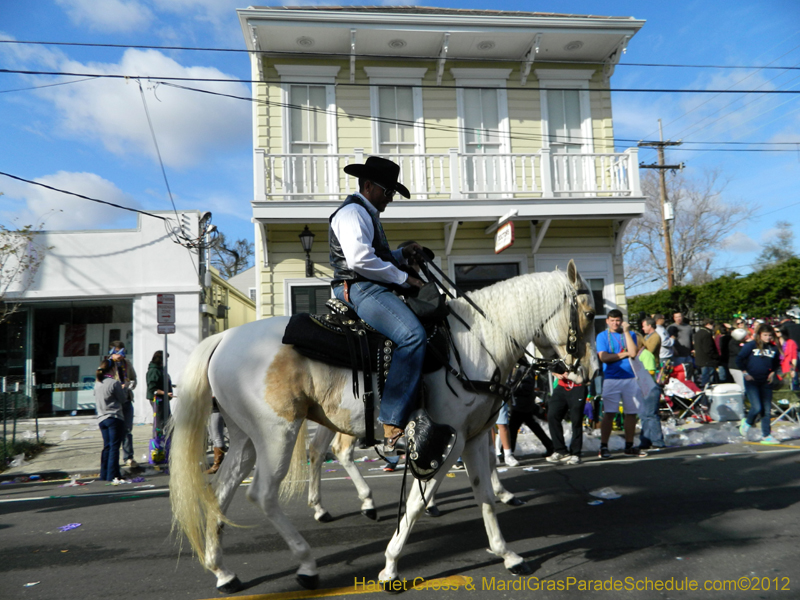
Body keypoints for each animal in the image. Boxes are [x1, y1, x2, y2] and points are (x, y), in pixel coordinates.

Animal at [170, 260, 592, 592]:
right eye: (588, 314)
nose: (586, 372)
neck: (477, 344)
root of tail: (224, 337)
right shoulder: (446, 441)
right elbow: (418, 503)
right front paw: (390, 566)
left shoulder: (472, 438)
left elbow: (484, 494)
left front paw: (507, 554)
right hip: (277, 435)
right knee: (264, 493)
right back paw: (306, 562)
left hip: (247, 439)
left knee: (223, 490)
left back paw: (223, 571)